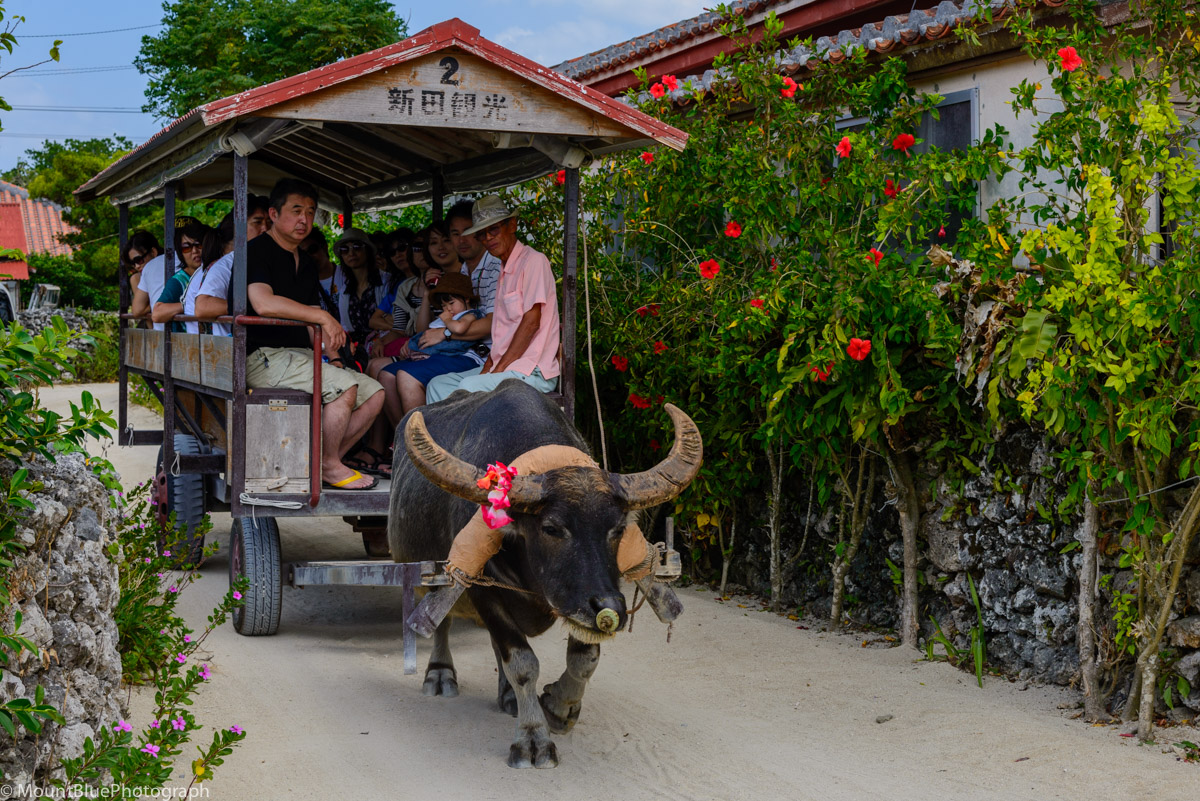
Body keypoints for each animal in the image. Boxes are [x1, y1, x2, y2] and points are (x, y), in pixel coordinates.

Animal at [388, 378, 700, 767]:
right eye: (552, 528)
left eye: (616, 529)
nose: (609, 606)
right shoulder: (481, 589)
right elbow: (522, 662)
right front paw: (532, 739)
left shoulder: (581, 606)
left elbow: (584, 659)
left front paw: (557, 707)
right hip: (428, 577)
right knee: (441, 620)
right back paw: (441, 674)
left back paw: (508, 697)